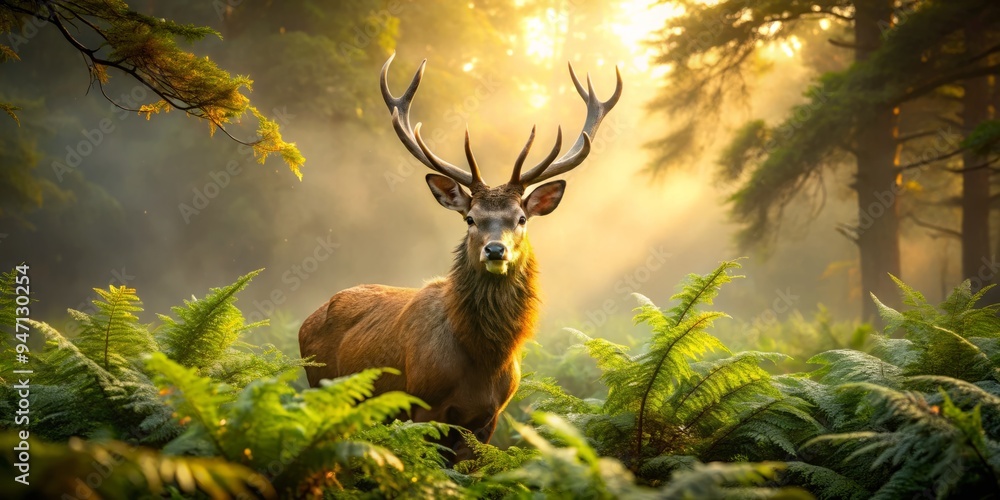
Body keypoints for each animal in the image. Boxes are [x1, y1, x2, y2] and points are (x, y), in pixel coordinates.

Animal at [299, 54, 621, 461]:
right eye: (470, 218)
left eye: (521, 218)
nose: (495, 249)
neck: (481, 364)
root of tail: (306, 320)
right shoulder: (422, 405)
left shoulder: (489, 418)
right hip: (318, 385)